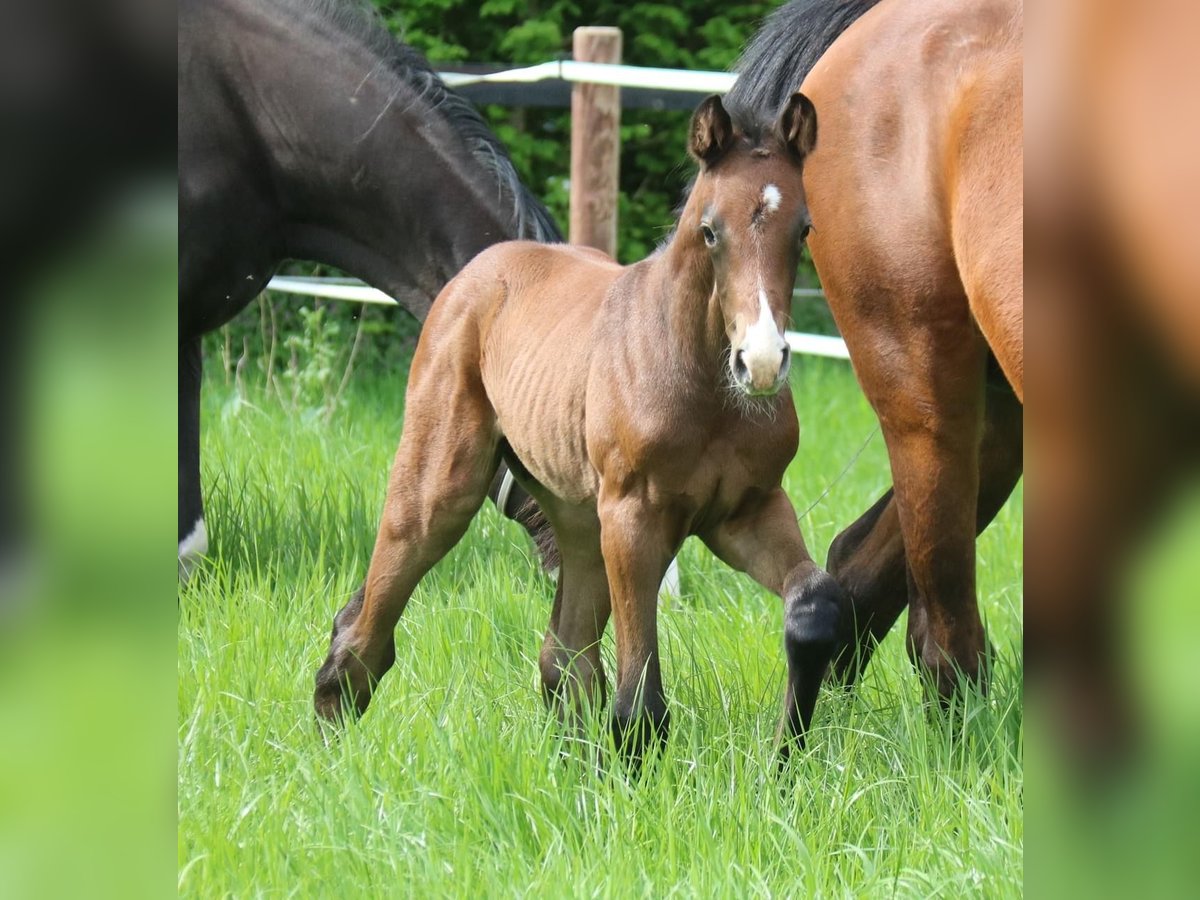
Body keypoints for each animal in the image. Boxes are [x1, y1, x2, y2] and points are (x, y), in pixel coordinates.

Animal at [314, 93, 849, 763]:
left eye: (803, 230)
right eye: (710, 230)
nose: (762, 362)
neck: (703, 385)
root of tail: (478, 270)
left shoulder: (747, 509)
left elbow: (814, 606)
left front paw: (784, 760)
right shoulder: (635, 514)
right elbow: (639, 693)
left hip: (577, 517)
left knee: (563, 654)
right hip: (445, 486)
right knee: (373, 617)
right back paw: (331, 734)